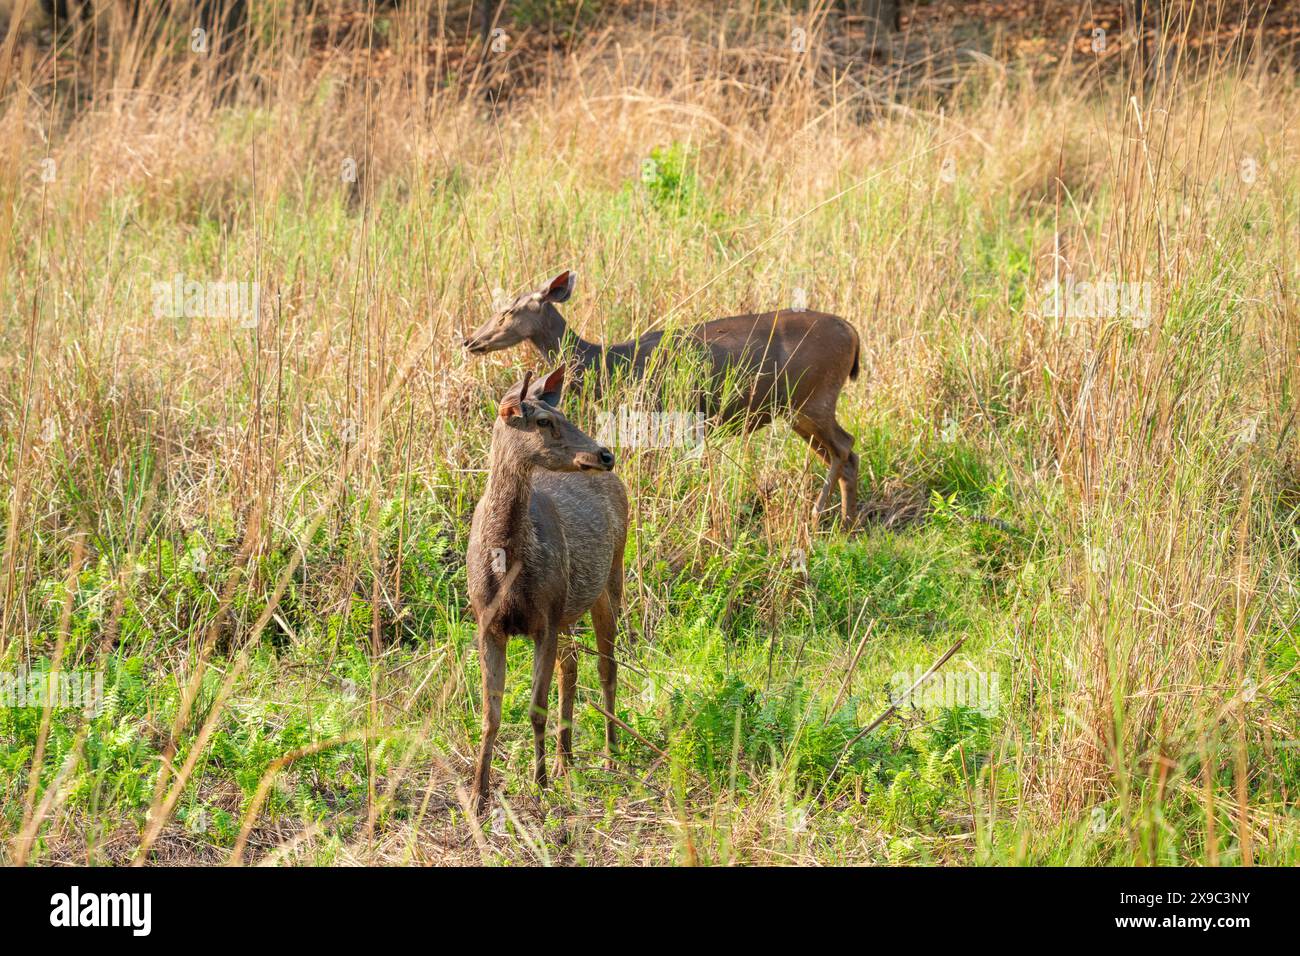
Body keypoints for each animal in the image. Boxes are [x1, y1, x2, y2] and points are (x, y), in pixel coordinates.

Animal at [467, 269, 863, 522]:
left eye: (507, 311)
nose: (470, 340)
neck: (609, 363)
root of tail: (853, 333)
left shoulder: (656, 412)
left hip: (815, 396)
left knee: (844, 446)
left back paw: (820, 516)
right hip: (798, 408)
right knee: (845, 452)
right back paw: (846, 521)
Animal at [467, 366, 629, 816]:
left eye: (563, 413)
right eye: (543, 420)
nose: (605, 454)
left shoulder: (545, 620)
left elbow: (535, 707)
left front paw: (538, 784)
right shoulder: (488, 624)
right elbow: (490, 714)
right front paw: (478, 795)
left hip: (610, 580)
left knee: (607, 668)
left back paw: (610, 757)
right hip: (569, 609)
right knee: (570, 668)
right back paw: (565, 760)